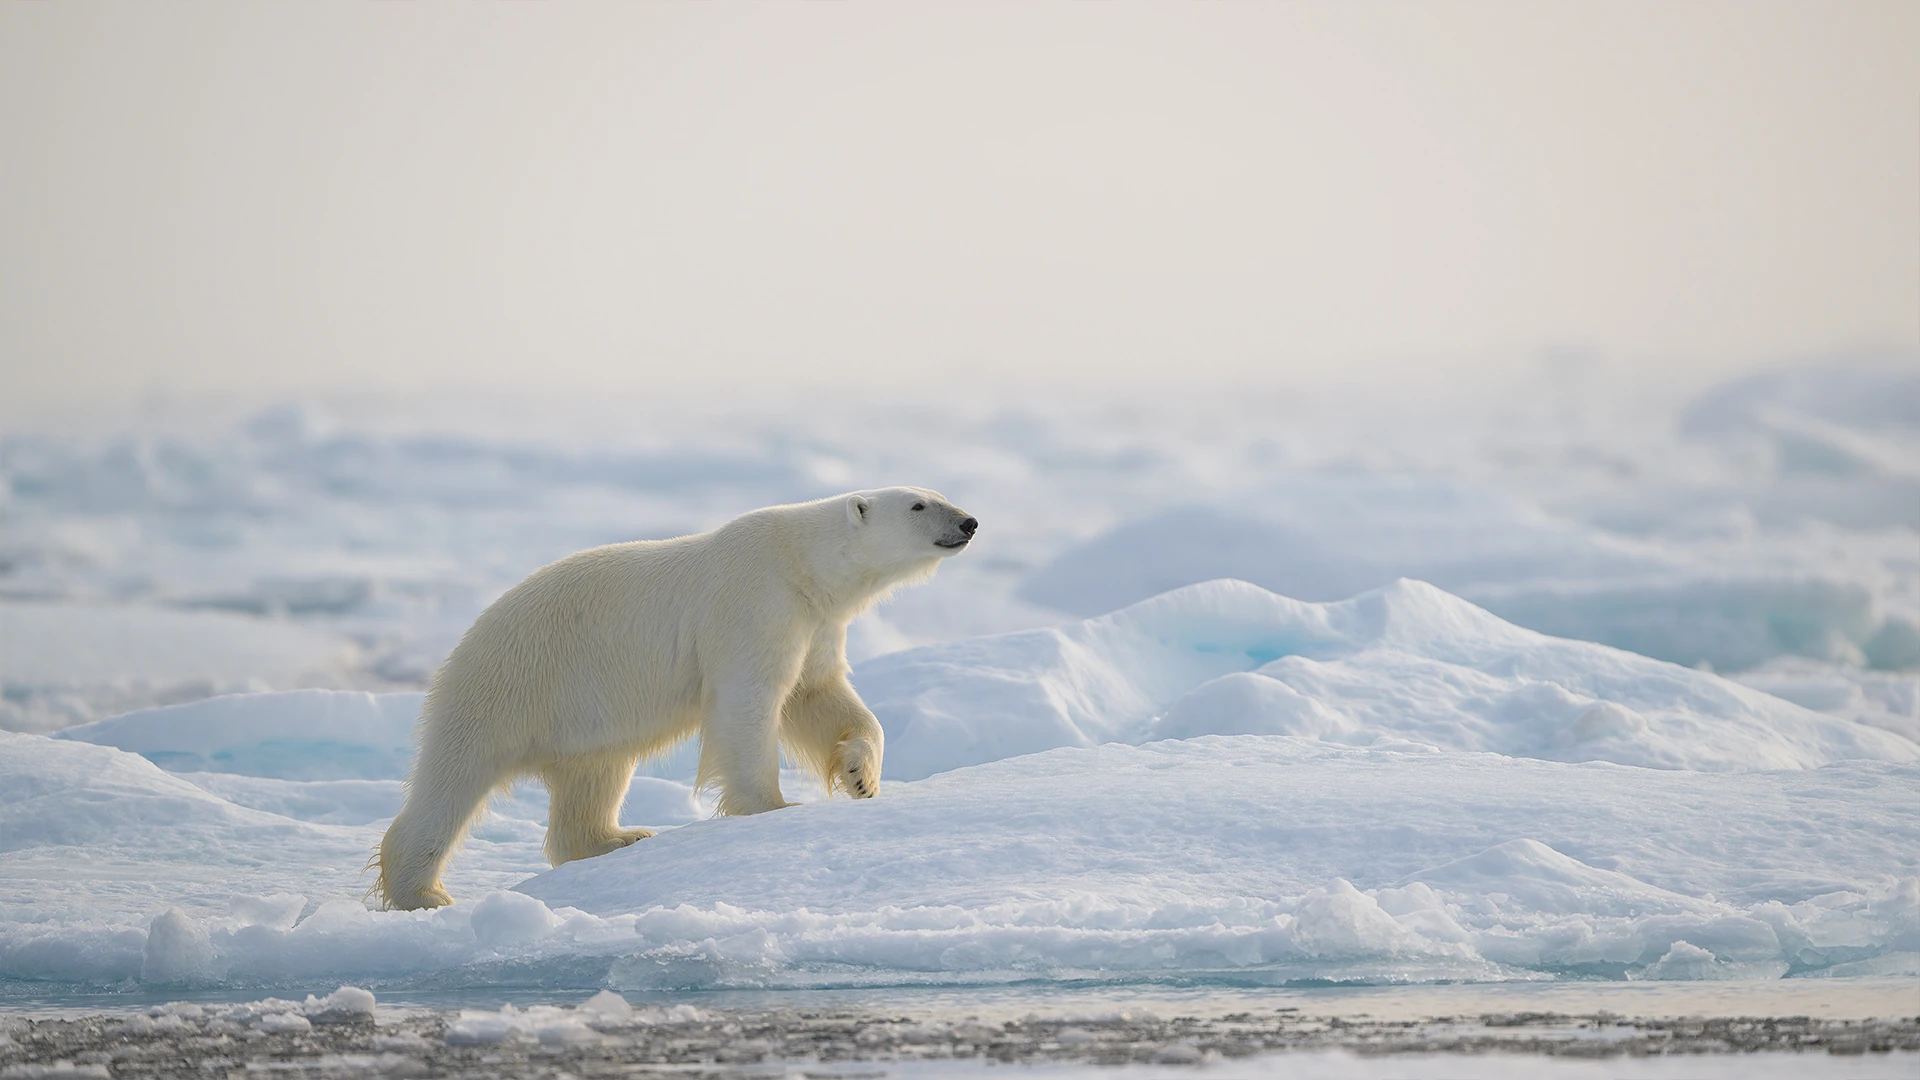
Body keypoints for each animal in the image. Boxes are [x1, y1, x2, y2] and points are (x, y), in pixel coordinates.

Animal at [373, 487, 977, 910]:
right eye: (919, 504)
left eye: (940, 494)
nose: (969, 522)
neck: (801, 563)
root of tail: (467, 641)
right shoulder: (754, 603)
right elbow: (750, 700)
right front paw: (774, 808)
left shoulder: (816, 622)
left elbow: (820, 694)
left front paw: (861, 776)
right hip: (511, 684)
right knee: (454, 779)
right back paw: (423, 892)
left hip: (584, 716)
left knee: (595, 776)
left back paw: (620, 837)